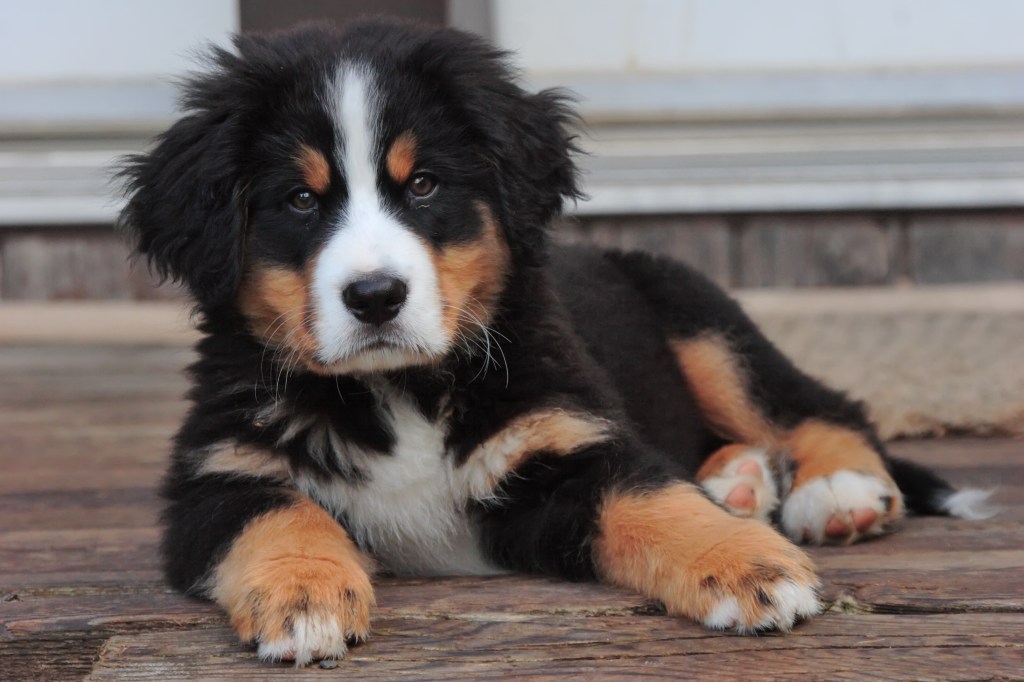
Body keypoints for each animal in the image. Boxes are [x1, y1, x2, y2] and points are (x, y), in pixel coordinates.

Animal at [117, 18, 991, 659]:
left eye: (424, 184)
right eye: (300, 200)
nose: (375, 297)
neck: (402, 388)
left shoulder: (566, 440)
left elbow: (653, 500)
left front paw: (747, 564)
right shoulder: (216, 473)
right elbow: (278, 514)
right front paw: (303, 595)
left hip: (702, 319)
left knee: (818, 405)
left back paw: (834, 493)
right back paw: (740, 483)